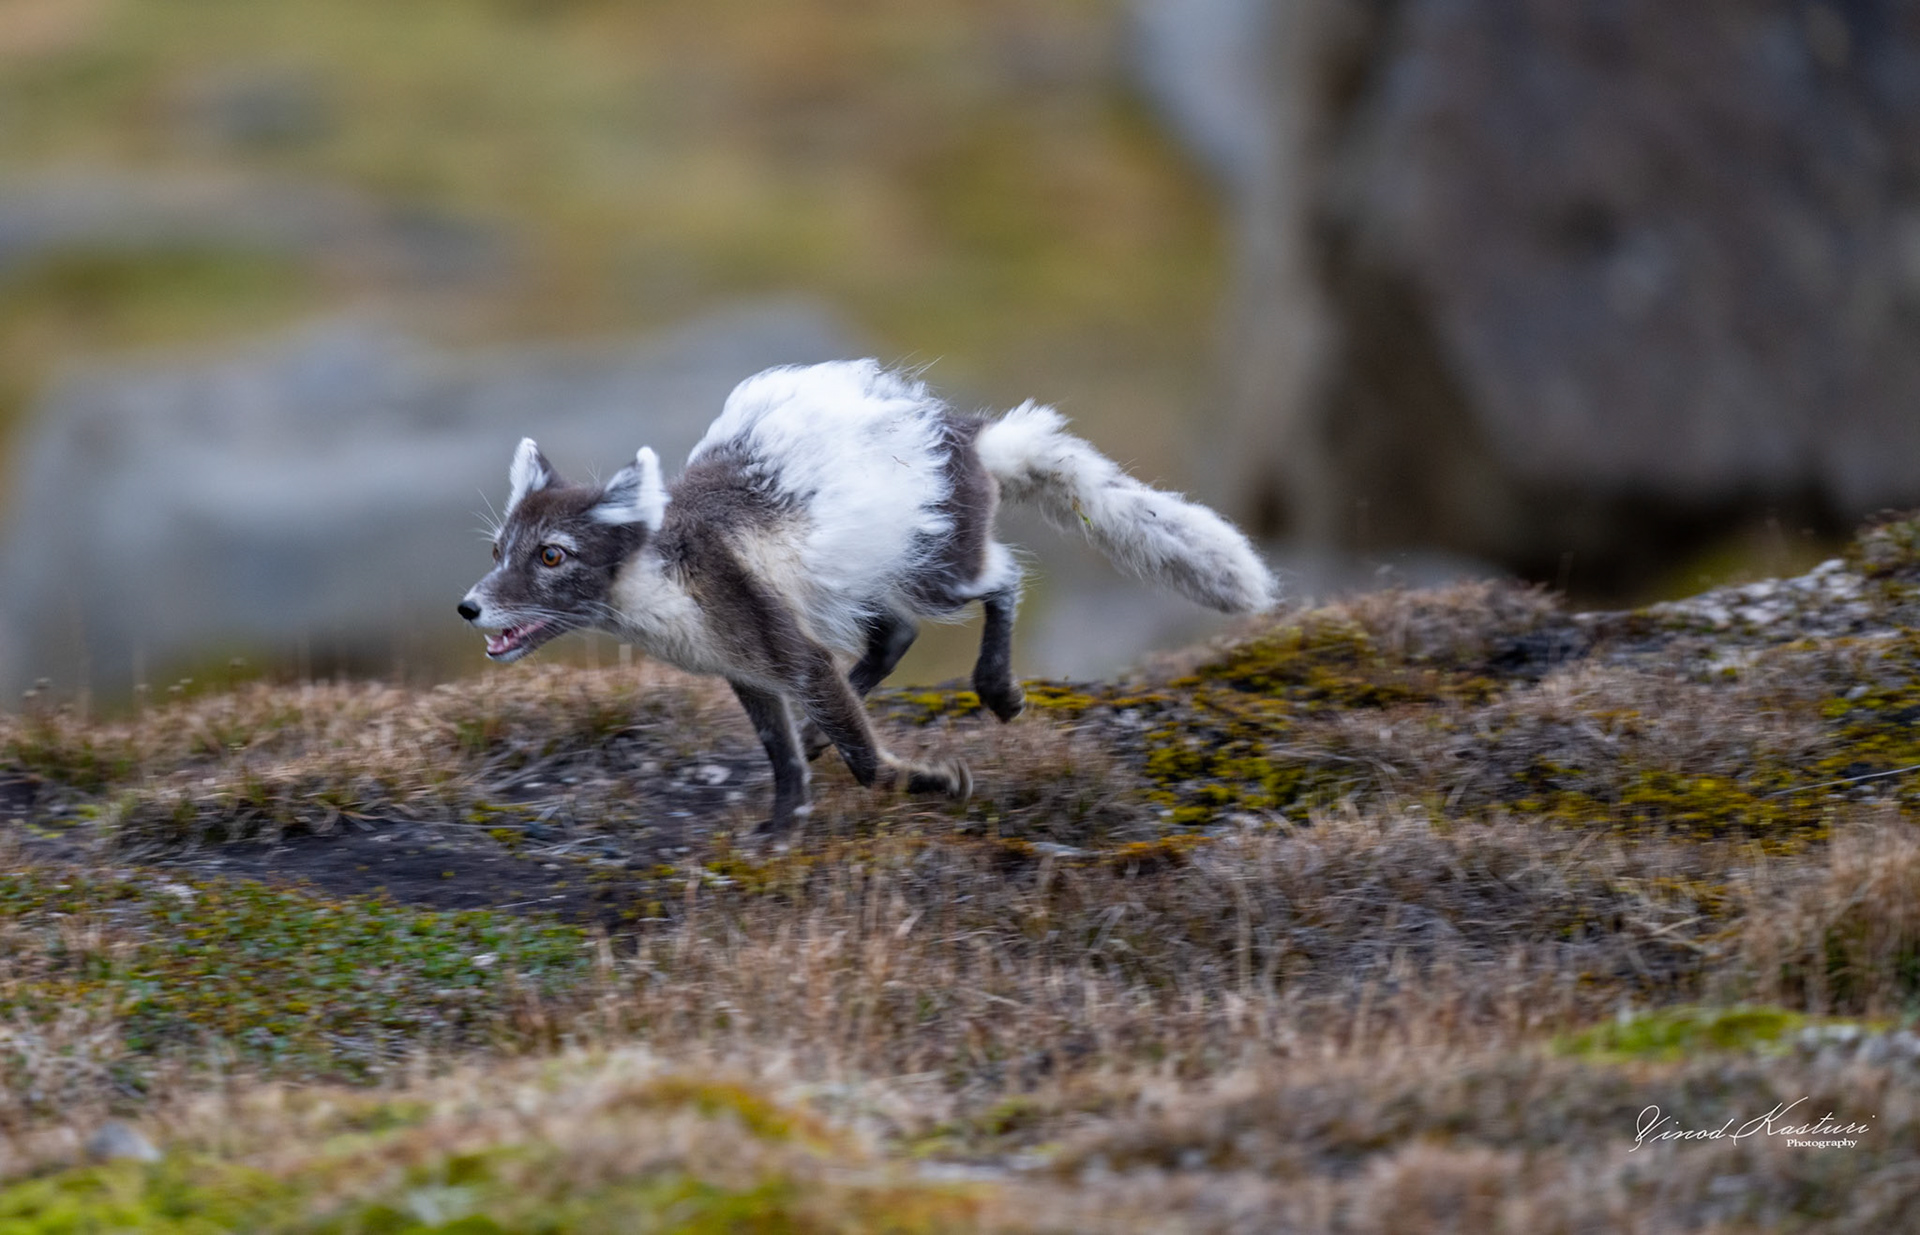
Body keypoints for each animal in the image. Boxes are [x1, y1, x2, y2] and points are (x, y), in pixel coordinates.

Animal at [458, 360, 1275, 836]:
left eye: (552, 556)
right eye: (498, 552)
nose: (468, 607)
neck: (671, 579)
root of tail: (969, 434)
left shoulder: (788, 650)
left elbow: (865, 760)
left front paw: (934, 783)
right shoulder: (747, 668)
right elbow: (781, 753)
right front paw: (783, 823)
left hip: (933, 570)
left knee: (1002, 577)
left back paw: (998, 689)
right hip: (857, 582)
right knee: (895, 640)